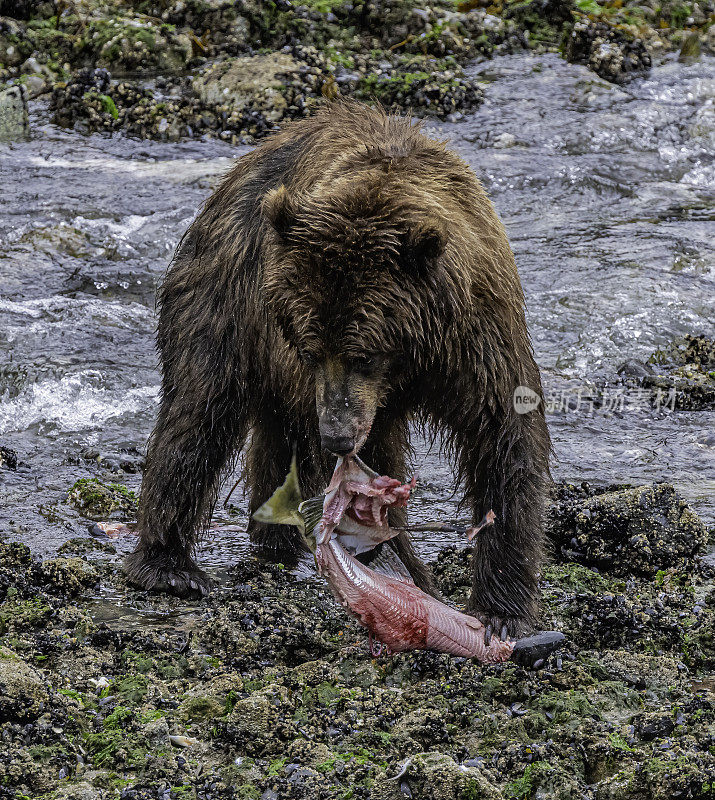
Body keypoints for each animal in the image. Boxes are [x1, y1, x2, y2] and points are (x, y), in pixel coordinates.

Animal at [126, 98, 552, 636]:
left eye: (364, 354)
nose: (337, 437)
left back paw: (277, 538)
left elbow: (503, 436)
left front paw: (500, 611)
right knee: (199, 412)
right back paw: (169, 566)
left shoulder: (476, 333)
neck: (411, 363)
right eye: (311, 351)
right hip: (226, 297)